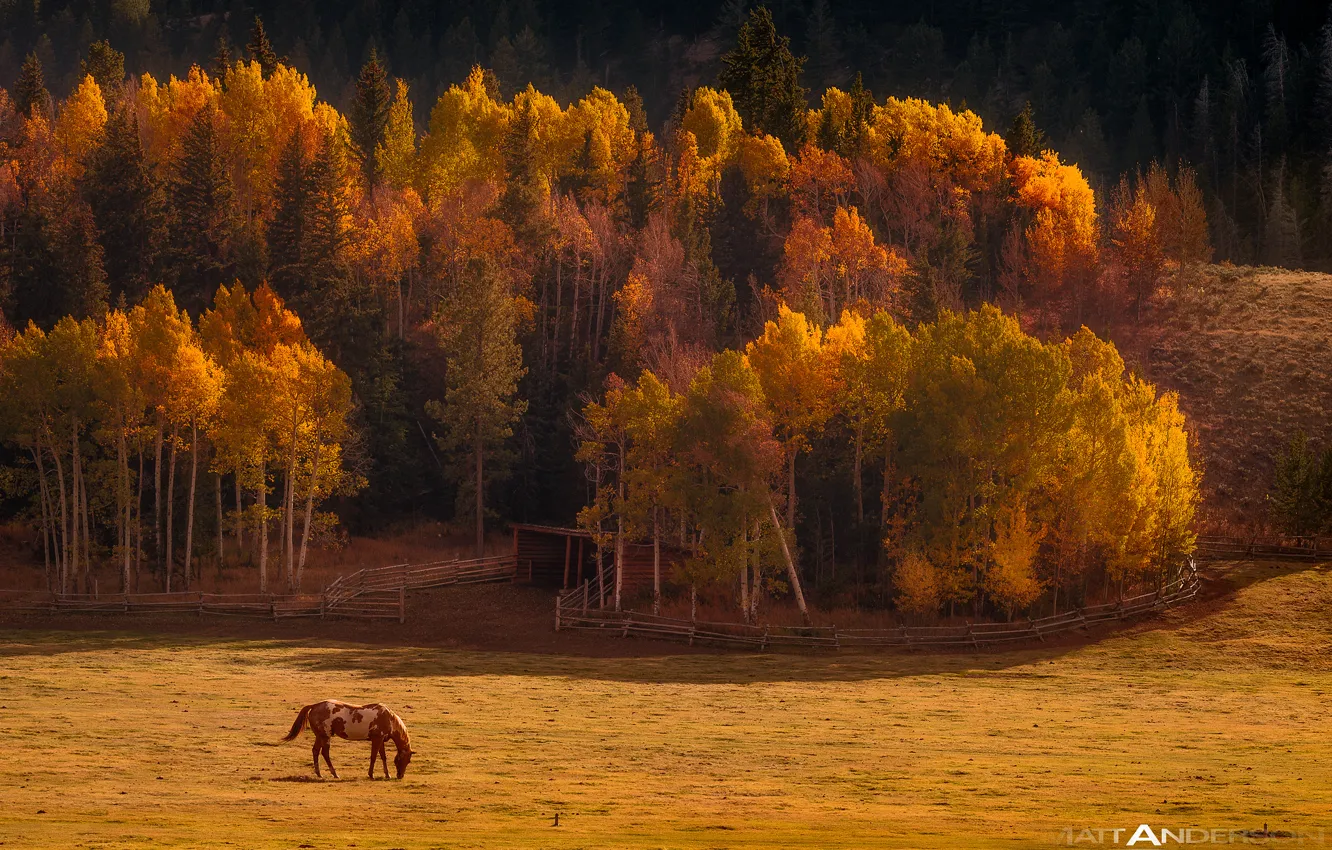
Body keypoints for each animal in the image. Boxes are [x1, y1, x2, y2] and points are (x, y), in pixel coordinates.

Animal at [282, 700, 413, 780]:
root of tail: (315, 706)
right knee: (325, 753)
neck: (388, 718)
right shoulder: (376, 739)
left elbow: (383, 757)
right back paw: (334, 774)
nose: (400, 776)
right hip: (325, 737)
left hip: (320, 736)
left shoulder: (380, 740)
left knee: (315, 751)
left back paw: (319, 773)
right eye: (406, 760)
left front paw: (387, 774)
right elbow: (373, 757)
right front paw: (371, 775)